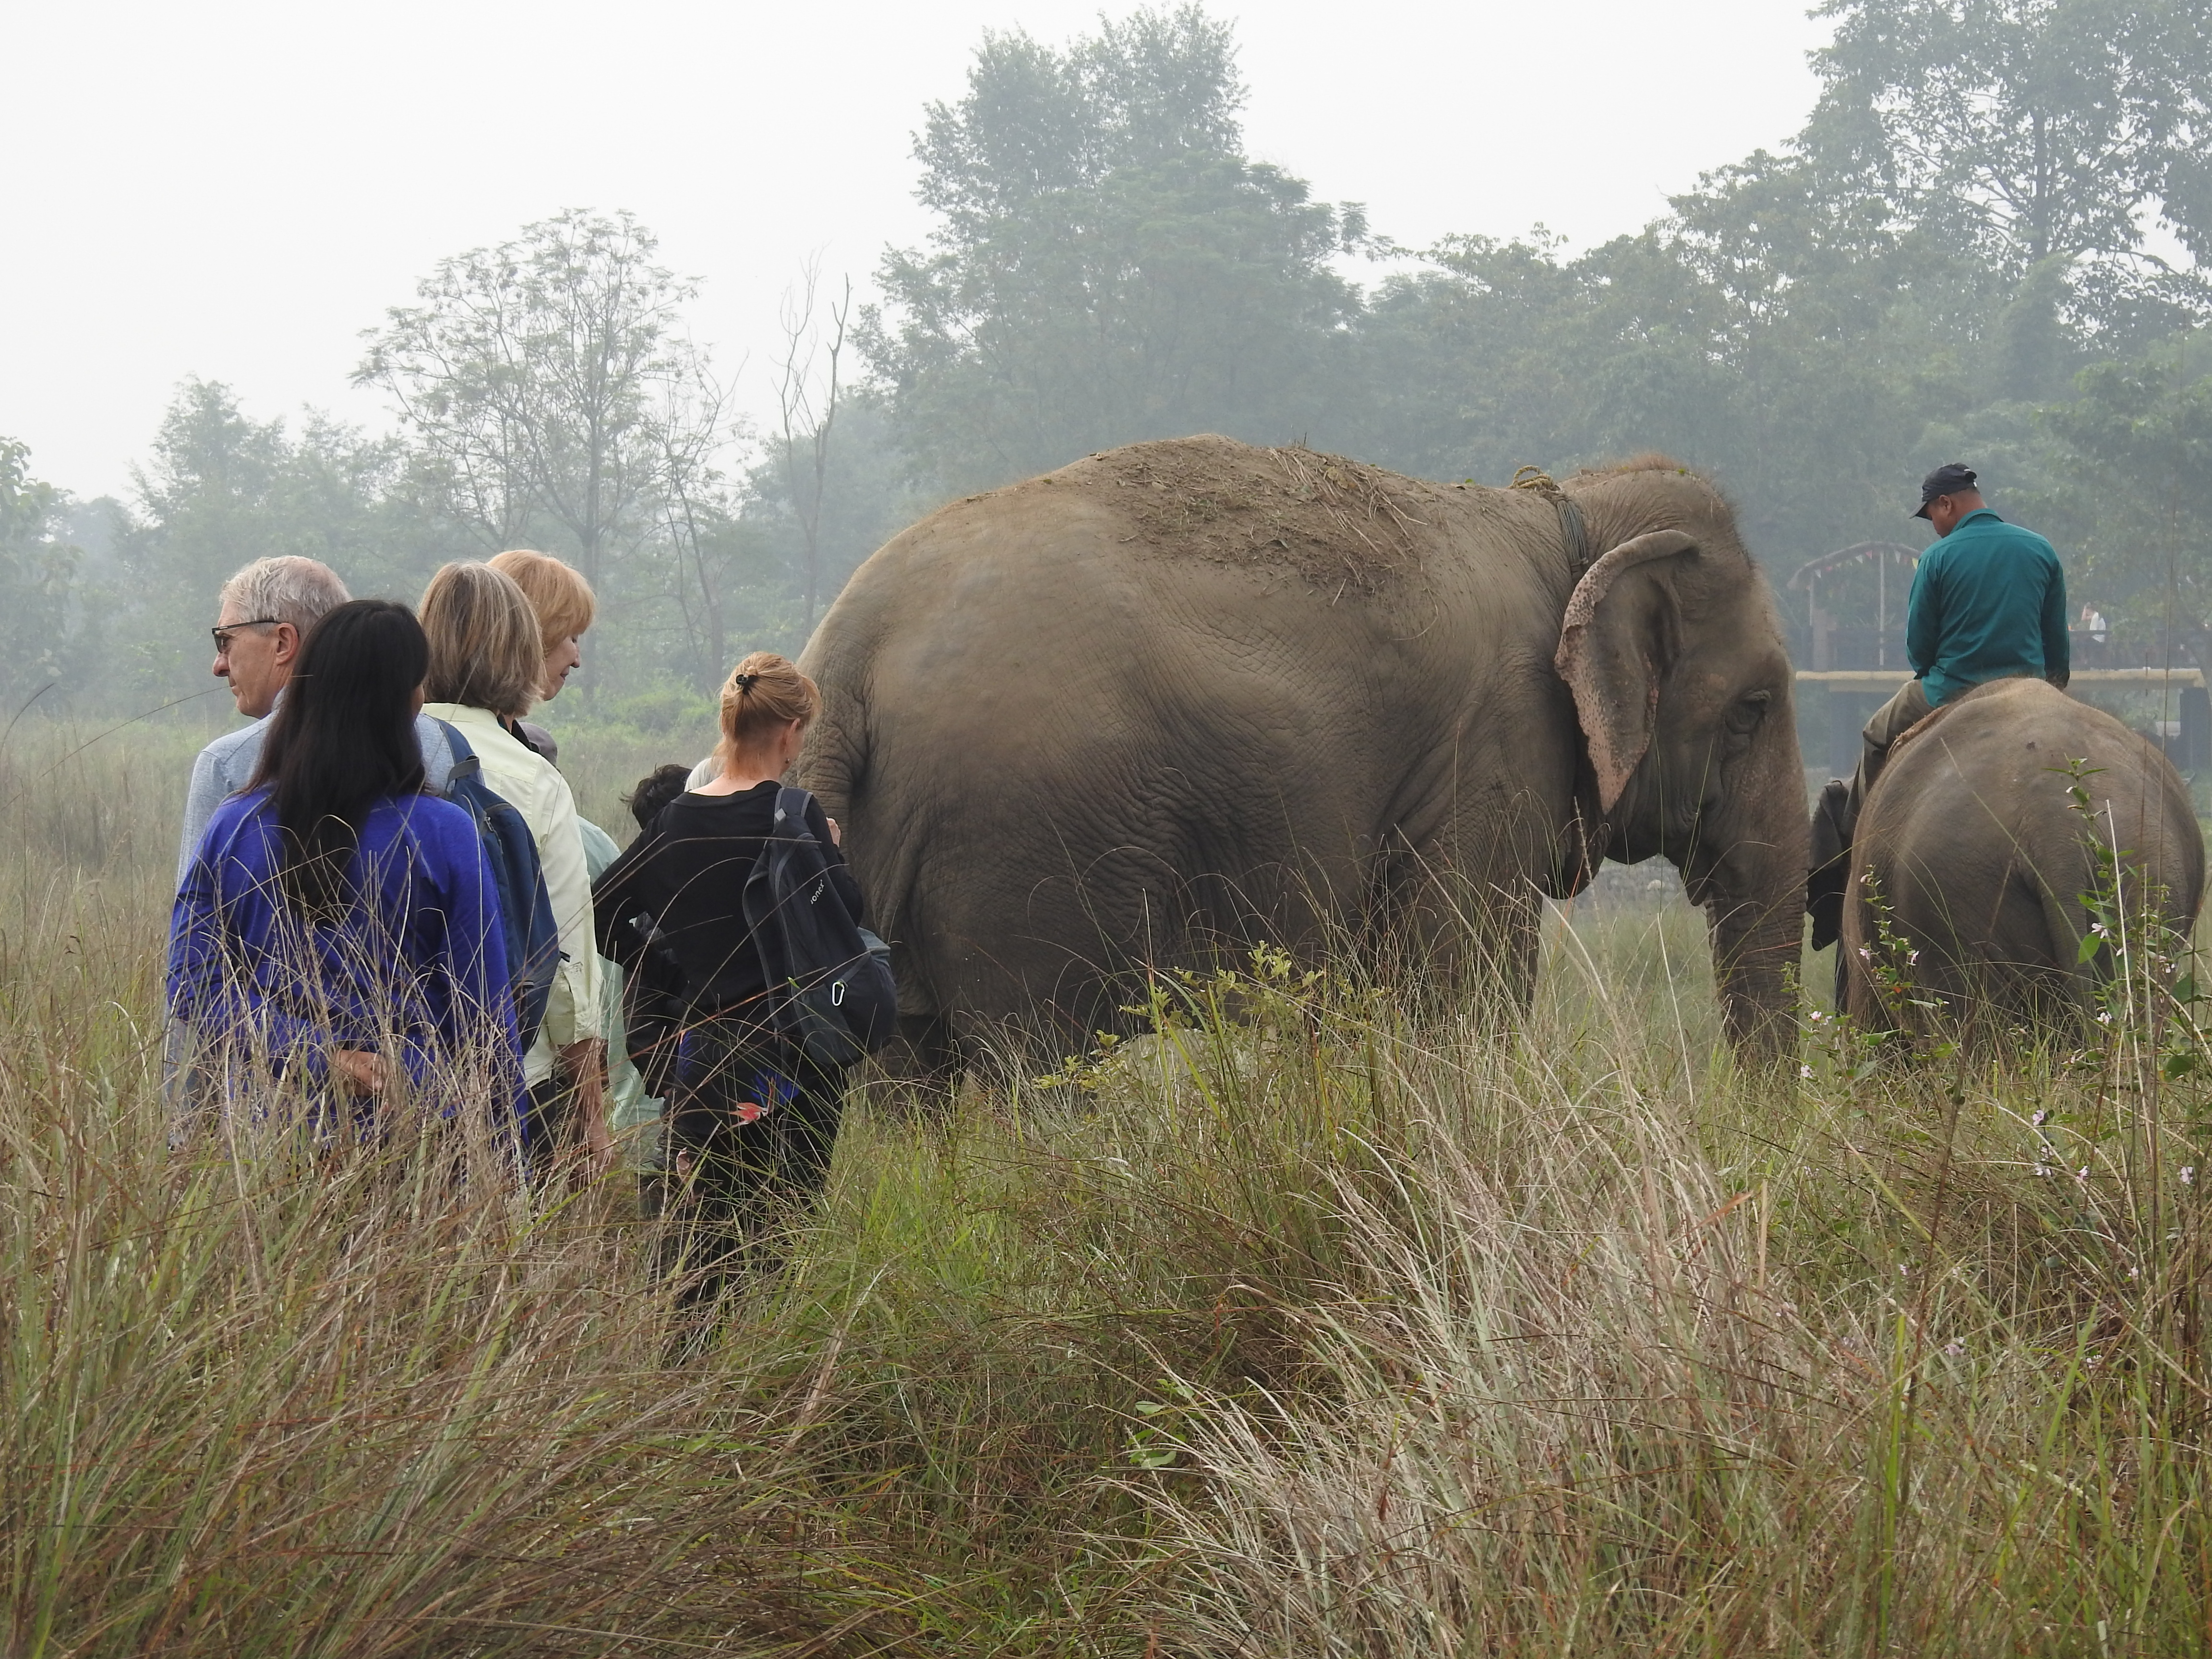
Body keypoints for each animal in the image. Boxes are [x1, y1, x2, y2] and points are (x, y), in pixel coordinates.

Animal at [796, 436, 1808, 1066]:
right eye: (1754, 707)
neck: (1564, 518)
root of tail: (841, 656)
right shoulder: (1495, 745)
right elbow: (1459, 988)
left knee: (907, 1075)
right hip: (1023, 844)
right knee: (1035, 1063)